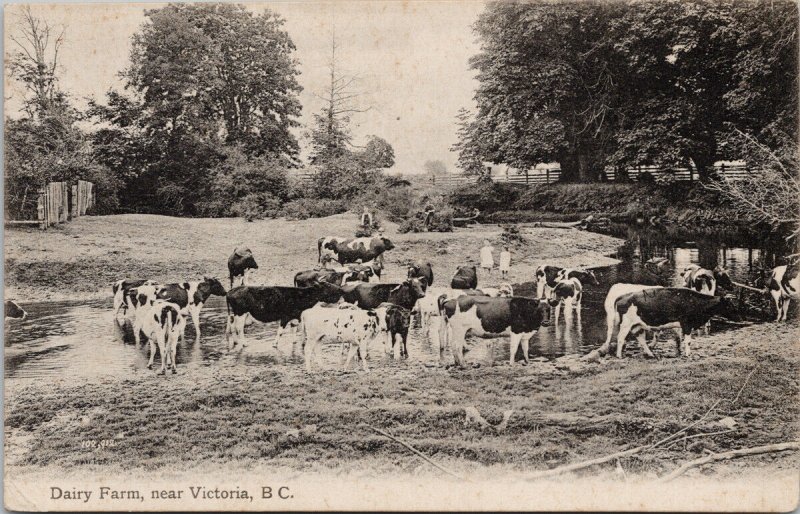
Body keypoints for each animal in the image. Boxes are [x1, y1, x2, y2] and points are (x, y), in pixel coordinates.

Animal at [608, 286, 740, 358]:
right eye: (729, 305)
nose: (739, 317)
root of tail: (622, 296)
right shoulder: (686, 324)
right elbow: (688, 341)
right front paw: (688, 354)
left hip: (638, 325)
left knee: (641, 339)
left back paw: (651, 354)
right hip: (626, 324)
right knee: (620, 338)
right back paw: (619, 355)